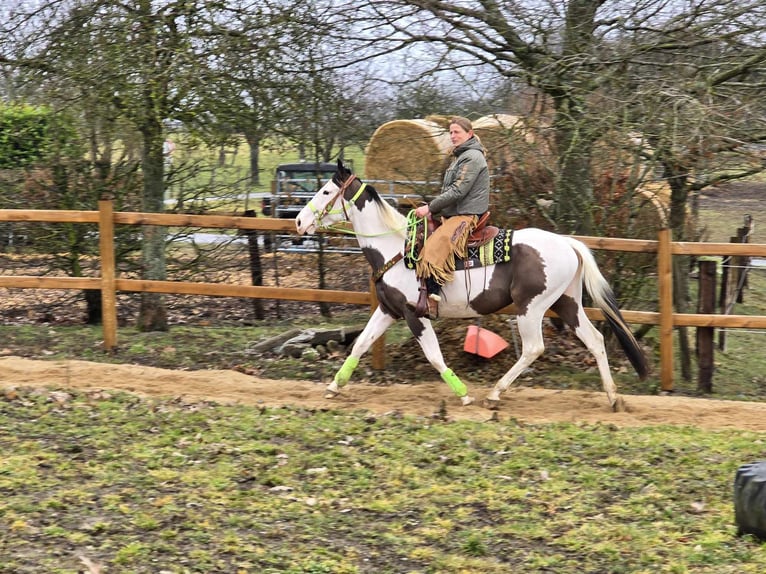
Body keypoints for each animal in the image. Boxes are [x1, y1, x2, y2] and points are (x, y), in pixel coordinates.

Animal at [294, 160, 648, 412]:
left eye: (325, 192)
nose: (298, 221)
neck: (395, 248)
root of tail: (568, 243)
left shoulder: (414, 314)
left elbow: (434, 356)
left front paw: (463, 394)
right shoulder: (387, 310)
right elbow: (361, 344)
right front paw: (334, 386)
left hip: (531, 307)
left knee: (534, 348)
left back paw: (494, 393)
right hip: (567, 303)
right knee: (595, 340)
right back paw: (613, 398)